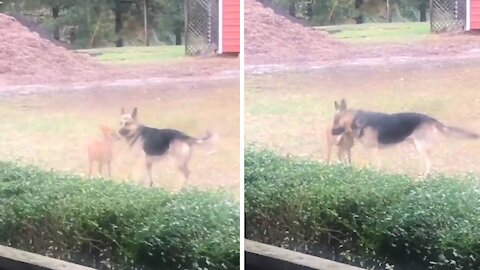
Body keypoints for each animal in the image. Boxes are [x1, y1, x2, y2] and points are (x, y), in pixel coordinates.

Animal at [332, 99, 478, 175]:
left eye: (336, 121)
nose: (331, 133)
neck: (355, 120)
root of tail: (430, 119)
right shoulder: (370, 150)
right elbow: (370, 164)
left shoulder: (374, 149)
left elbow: (377, 166)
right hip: (417, 146)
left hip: (421, 147)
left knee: (429, 164)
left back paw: (423, 179)